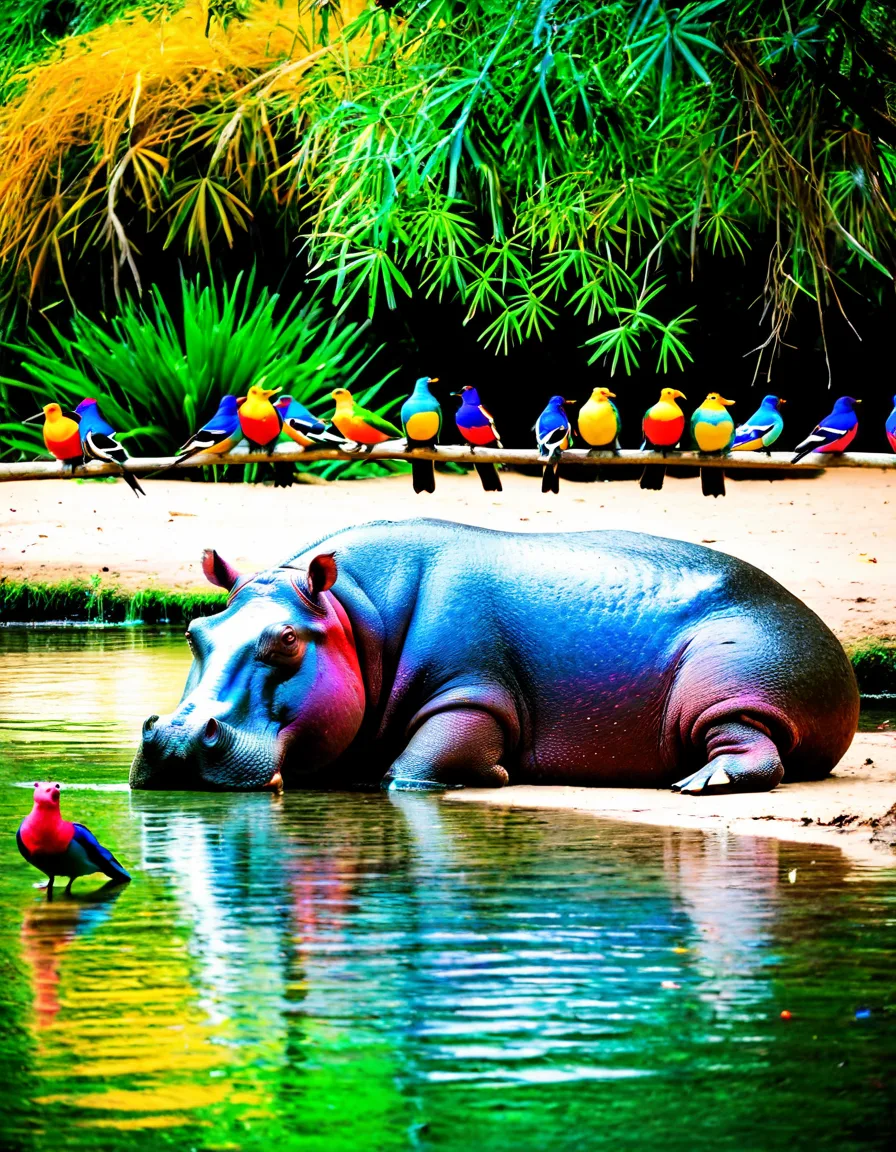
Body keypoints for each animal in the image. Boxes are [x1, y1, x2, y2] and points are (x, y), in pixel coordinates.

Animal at [130, 519, 859, 795]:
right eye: (195, 630)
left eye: (285, 640)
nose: (174, 737)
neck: (354, 618)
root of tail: (825, 634)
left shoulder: (471, 693)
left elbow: (415, 767)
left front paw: (498, 775)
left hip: (731, 682)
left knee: (753, 744)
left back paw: (701, 782)